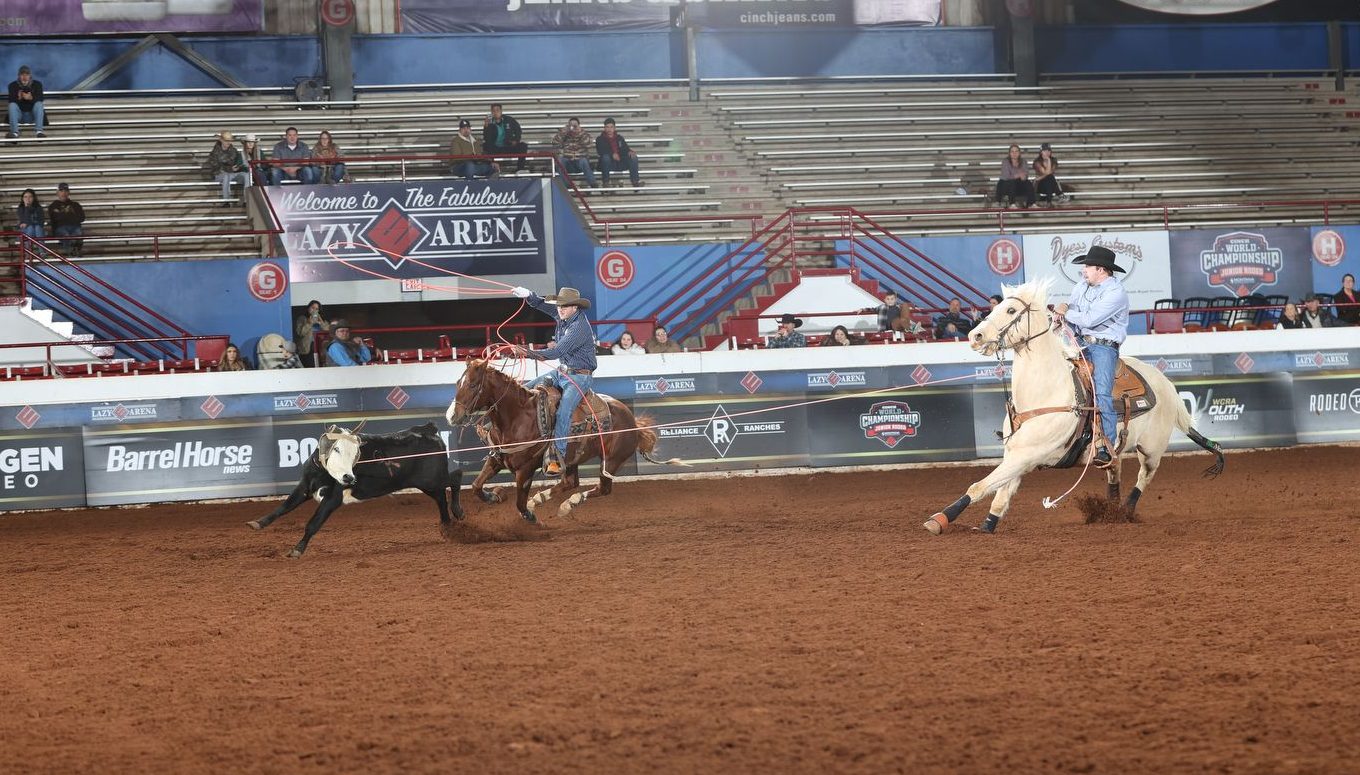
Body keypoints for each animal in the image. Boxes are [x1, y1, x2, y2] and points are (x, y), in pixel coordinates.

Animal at [443, 358, 680, 522]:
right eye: (457, 382)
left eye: (473, 385)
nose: (451, 416)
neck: (517, 417)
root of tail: (633, 422)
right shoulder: (497, 459)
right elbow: (476, 486)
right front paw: (494, 496)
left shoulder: (526, 469)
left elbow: (519, 503)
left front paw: (529, 516)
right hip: (572, 458)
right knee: (569, 482)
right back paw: (540, 499)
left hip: (611, 460)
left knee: (602, 488)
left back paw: (567, 504)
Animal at [924, 278, 1224, 535]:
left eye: (1010, 310)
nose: (975, 336)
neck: (1045, 392)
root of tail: (1165, 383)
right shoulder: (1016, 455)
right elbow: (999, 495)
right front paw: (987, 525)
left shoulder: (1026, 455)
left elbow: (979, 486)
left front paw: (939, 520)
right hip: (1115, 448)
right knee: (1114, 470)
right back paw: (1110, 511)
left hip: (1152, 449)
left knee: (1144, 476)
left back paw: (1126, 510)